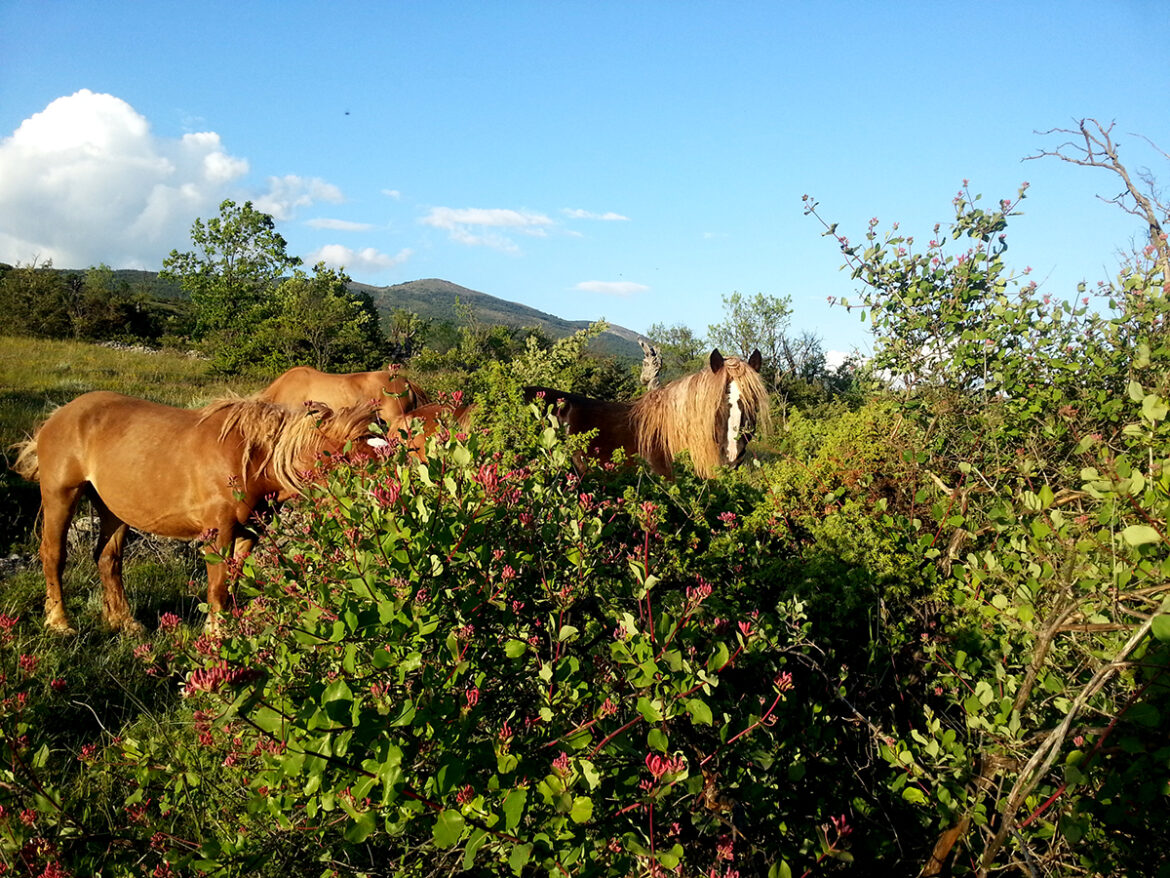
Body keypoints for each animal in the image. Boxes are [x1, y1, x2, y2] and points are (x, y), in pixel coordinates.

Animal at [10, 391, 383, 634]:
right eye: (353, 460)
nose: (378, 513)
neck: (250, 459)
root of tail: (58, 415)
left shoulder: (248, 534)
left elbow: (231, 586)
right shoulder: (218, 533)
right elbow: (217, 589)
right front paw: (216, 637)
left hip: (113, 508)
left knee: (107, 559)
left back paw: (124, 623)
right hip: (61, 495)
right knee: (53, 556)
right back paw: (60, 623)